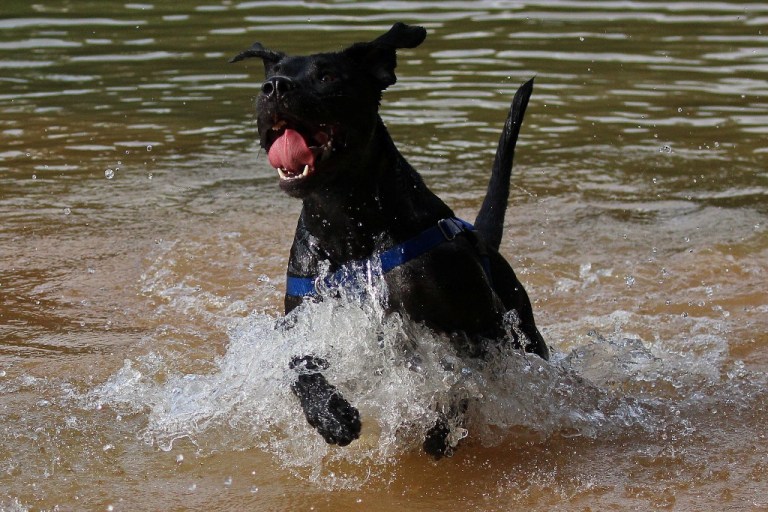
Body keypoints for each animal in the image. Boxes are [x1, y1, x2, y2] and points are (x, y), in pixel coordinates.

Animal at [231, 22, 549, 458]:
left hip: (524, 330)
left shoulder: (481, 327)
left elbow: (462, 378)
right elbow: (299, 365)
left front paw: (442, 427)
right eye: (271, 76)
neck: (346, 223)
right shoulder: (306, 320)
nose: (274, 87)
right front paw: (330, 413)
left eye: (327, 76)